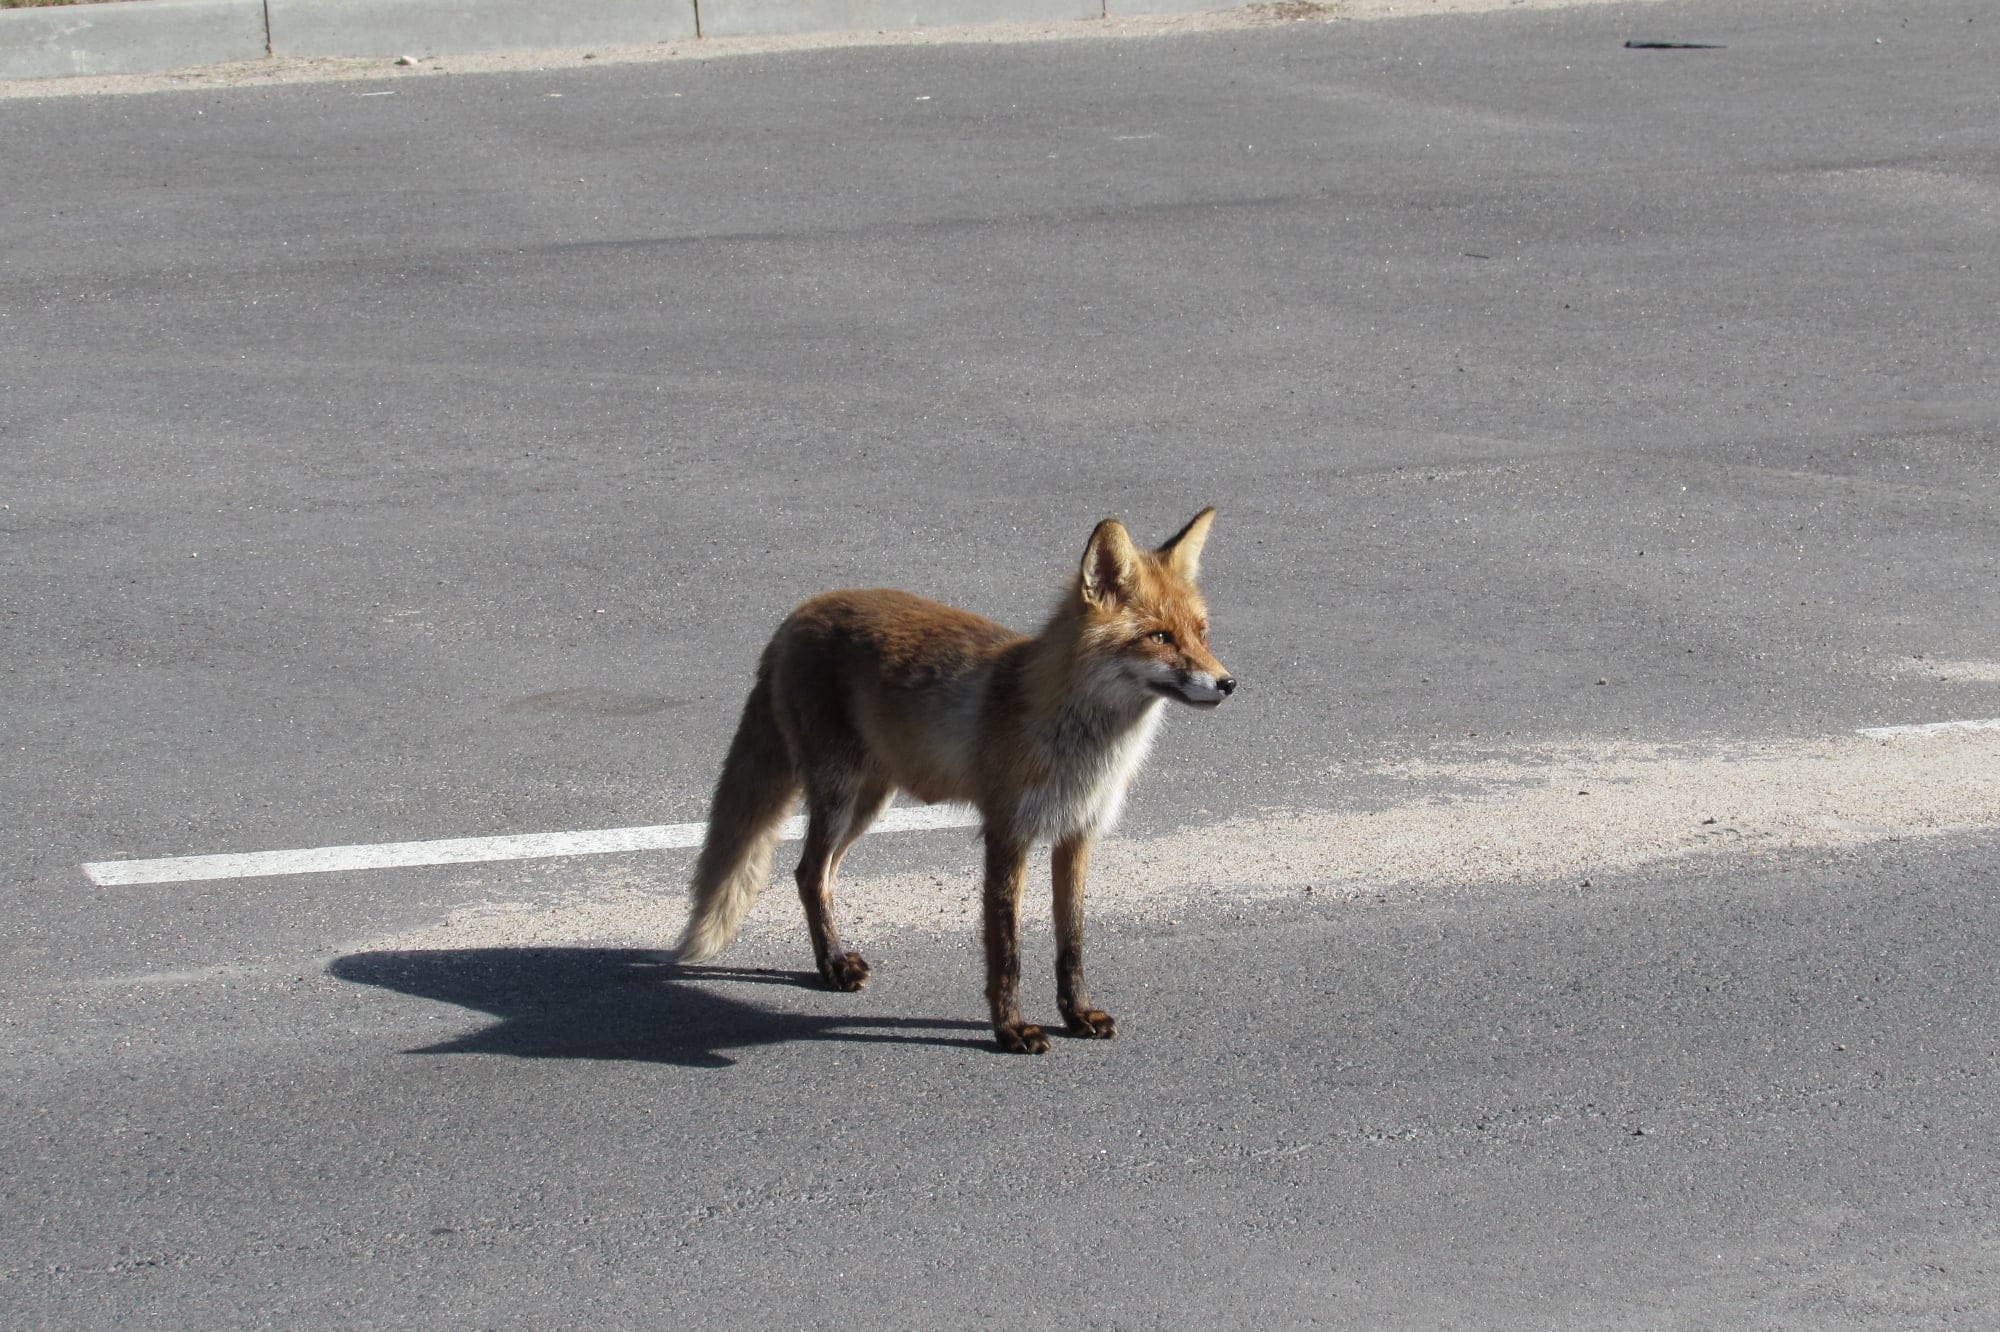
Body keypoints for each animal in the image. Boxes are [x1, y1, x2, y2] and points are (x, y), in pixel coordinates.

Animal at [674, 508, 1234, 1053]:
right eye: (1159, 637)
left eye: (1201, 633)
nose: (1228, 683)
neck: (1079, 743)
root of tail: (798, 613)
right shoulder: (1007, 832)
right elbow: (1007, 948)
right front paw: (1010, 1029)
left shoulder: (1077, 833)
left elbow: (1071, 942)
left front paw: (1078, 1015)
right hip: (839, 795)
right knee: (808, 872)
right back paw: (831, 966)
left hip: (867, 805)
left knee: (820, 874)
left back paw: (832, 958)